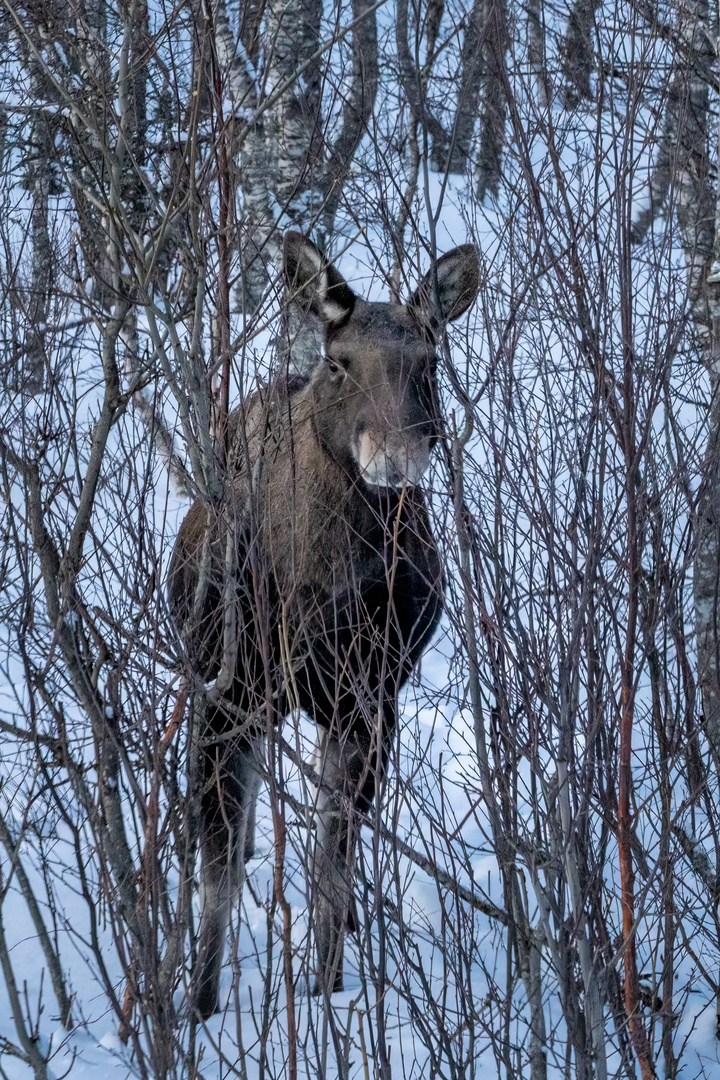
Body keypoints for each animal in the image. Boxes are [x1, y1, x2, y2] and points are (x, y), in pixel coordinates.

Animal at [170, 232, 479, 1015]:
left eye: (429, 364)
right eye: (340, 365)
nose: (396, 460)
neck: (329, 584)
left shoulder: (368, 701)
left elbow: (330, 870)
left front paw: (328, 986)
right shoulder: (226, 695)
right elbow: (217, 872)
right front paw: (199, 1006)